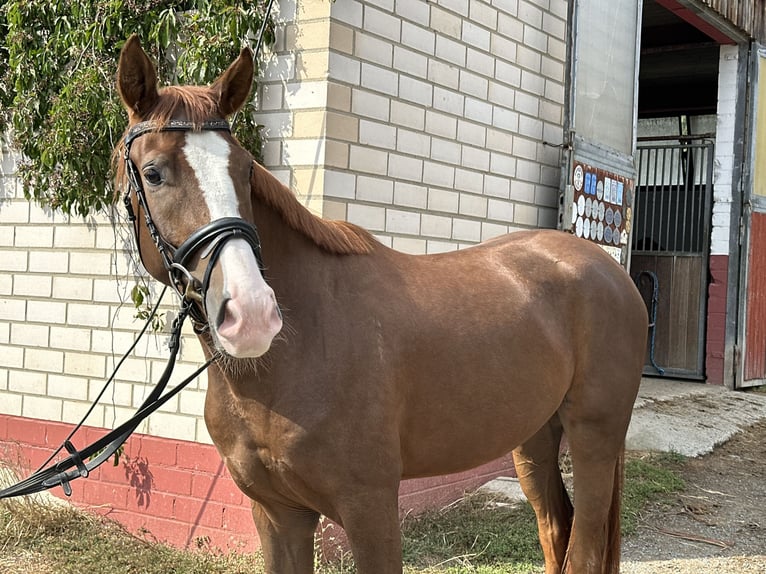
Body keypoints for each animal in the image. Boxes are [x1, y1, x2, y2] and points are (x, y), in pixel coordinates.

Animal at [117, 37, 652, 574]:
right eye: (153, 173)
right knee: (555, 529)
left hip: (593, 438)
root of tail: (611, 272)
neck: (292, 356)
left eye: (245, 170)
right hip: (535, 437)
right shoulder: (278, 513)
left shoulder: (369, 506)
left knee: (583, 546)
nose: (251, 315)